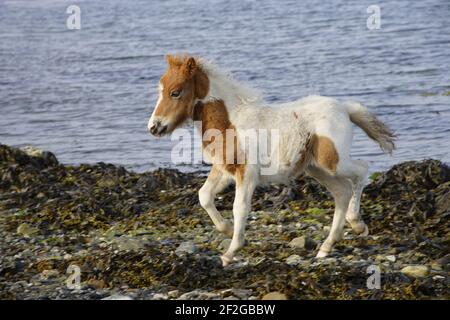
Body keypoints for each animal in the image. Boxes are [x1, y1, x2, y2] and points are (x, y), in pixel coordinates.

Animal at [148, 53, 394, 266]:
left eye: (175, 92)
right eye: (160, 90)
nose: (154, 127)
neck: (230, 122)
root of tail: (344, 107)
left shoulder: (247, 173)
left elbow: (240, 207)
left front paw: (231, 252)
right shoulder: (224, 170)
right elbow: (204, 196)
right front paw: (228, 230)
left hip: (333, 161)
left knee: (362, 170)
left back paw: (357, 224)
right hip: (317, 169)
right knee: (342, 192)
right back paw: (326, 247)